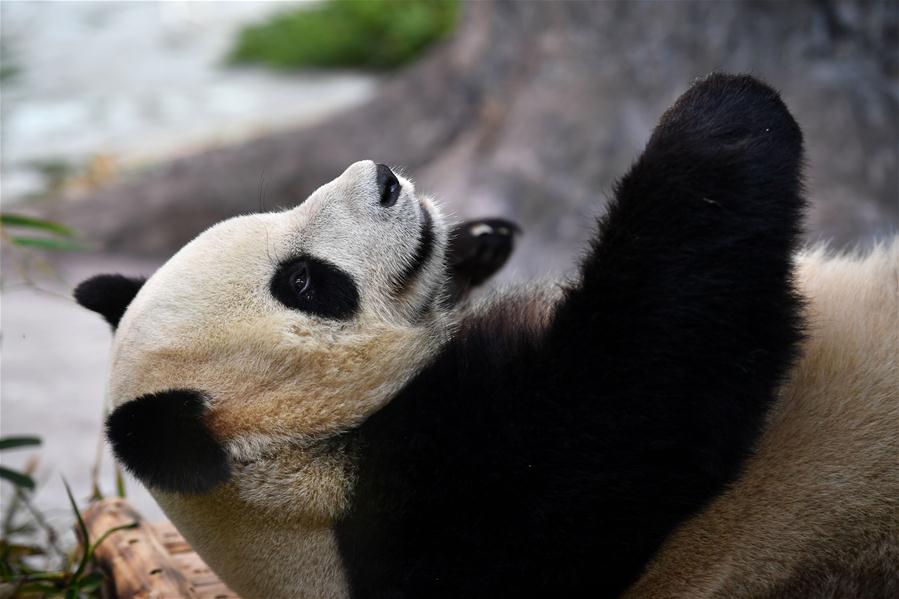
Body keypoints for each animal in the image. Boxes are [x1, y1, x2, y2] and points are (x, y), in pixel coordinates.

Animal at [75, 74, 809, 599]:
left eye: (274, 212)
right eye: (304, 281)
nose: (383, 179)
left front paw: (477, 244)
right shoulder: (434, 510)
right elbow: (638, 401)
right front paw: (721, 119)